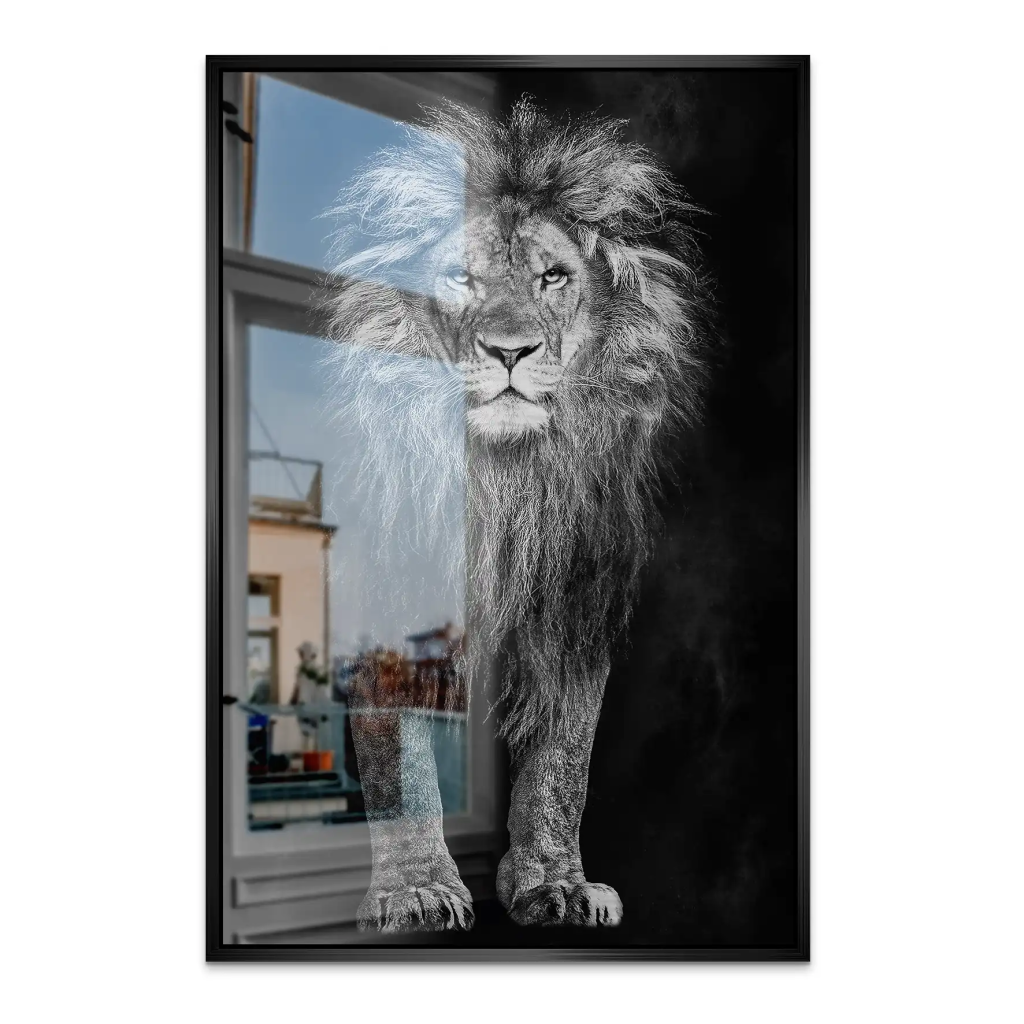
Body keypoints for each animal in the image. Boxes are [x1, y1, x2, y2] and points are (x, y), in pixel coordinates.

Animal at [320, 97, 712, 932]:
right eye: (461, 278)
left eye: (552, 276)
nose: (510, 351)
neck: (505, 475)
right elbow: (398, 759)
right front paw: (417, 890)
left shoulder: (576, 599)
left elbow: (563, 763)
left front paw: (552, 883)